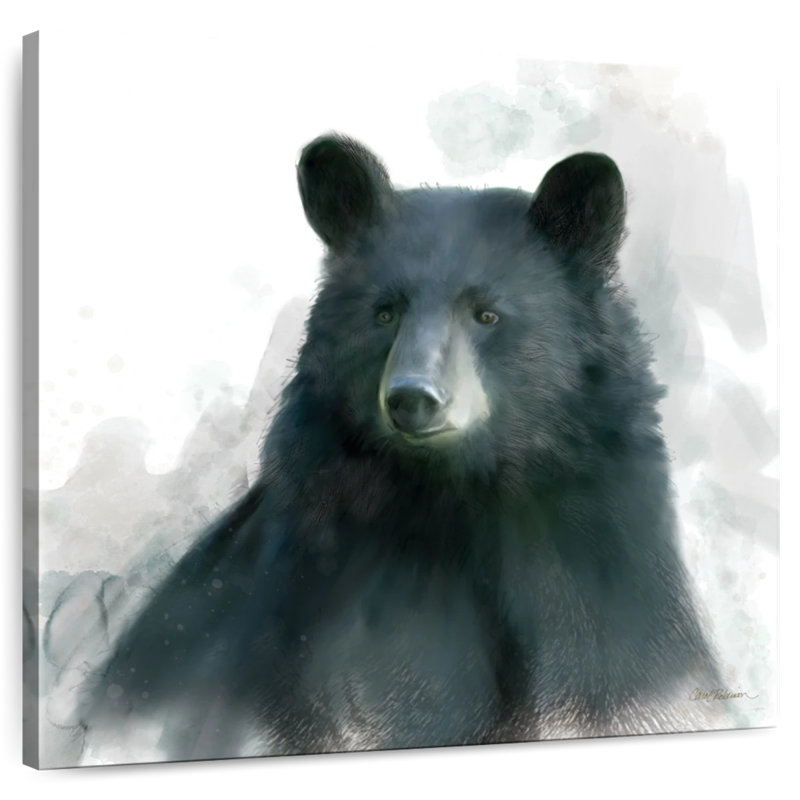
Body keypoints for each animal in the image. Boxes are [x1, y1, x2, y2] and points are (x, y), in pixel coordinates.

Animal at [81, 133, 722, 763]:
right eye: (385, 312)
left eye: (487, 314)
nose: (413, 398)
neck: (460, 498)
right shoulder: (336, 606)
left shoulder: (601, 576)